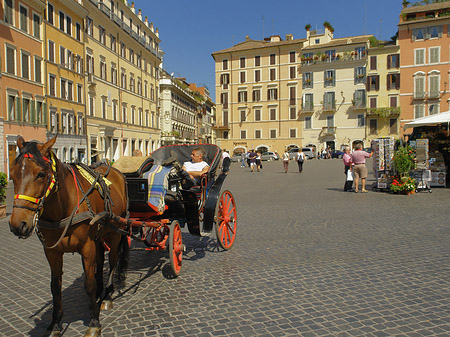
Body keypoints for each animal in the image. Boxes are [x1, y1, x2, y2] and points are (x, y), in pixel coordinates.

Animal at [8, 135, 128, 334]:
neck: (62, 207)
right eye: (13, 173)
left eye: (41, 174)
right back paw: (100, 293)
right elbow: (55, 286)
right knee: (101, 259)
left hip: (115, 230)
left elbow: (88, 283)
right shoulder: (52, 252)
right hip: (99, 234)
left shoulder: (87, 247)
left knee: (112, 261)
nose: (18, 225)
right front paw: (56, 323)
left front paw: (94, 321)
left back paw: (107, 296)